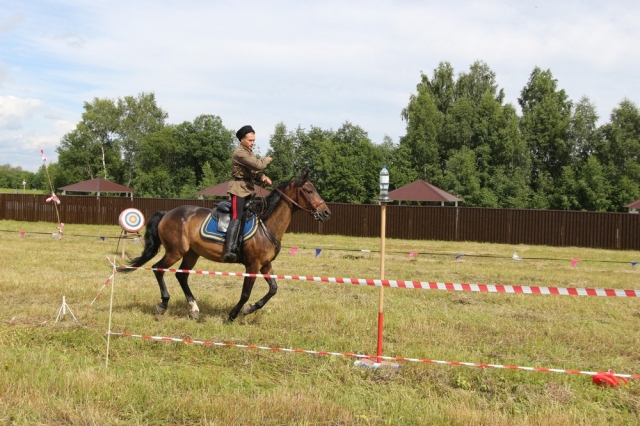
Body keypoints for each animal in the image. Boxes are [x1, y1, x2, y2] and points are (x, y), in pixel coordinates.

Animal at [120, 170, 332, 322]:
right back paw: (163, 304)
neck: (266, 224)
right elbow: (245, 293)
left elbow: (273, 289)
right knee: (158, 268)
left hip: (191, 253)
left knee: (182, 275)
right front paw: (233, 315)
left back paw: (194, 309)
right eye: (309, 190)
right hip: (175, 251)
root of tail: (167, 213)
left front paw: (250, 309)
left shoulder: (265, 265)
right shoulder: (253, 266)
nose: (326, 212)